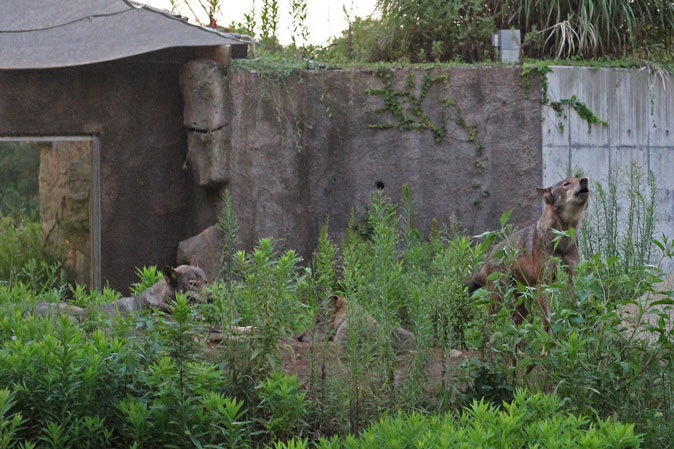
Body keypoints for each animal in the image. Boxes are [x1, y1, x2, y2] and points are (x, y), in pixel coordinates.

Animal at [468, 176, 588, 326]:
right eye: (566, 184)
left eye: (578, 178)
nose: (585, 180)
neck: (561, 241)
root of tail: (489, 255)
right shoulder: (544, 282)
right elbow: (547, 318)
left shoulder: (572, 276)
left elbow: (575, 304)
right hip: (499, 298)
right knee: (490, 324)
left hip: (524, 301)